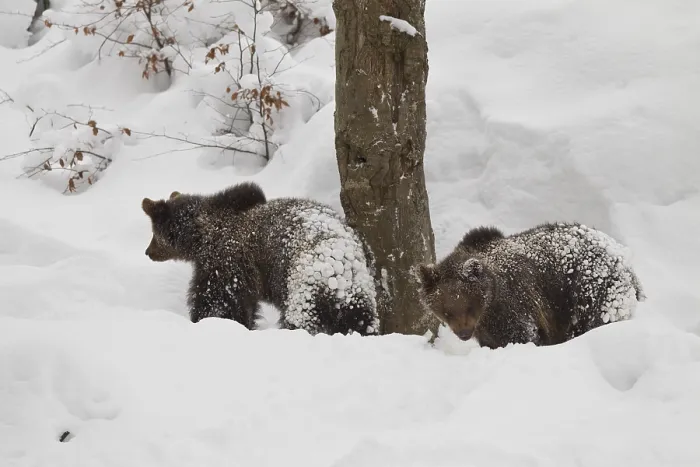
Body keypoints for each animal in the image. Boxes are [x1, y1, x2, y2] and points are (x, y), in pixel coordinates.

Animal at [141, 182, 379, 336]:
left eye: (154, 233)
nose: (148, 251)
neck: (202, 236)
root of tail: (342, 269)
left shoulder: (226, 262)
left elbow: (218, 301)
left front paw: (210, 319)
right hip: (359, 295)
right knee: (362, 321)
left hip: (303, 284)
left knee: (300, 319)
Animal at [416, 222, 645, 349]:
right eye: (446, 310)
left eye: (469, 305)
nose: (463, 334)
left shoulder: (514, 307)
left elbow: (521, 336)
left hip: (591, 289)